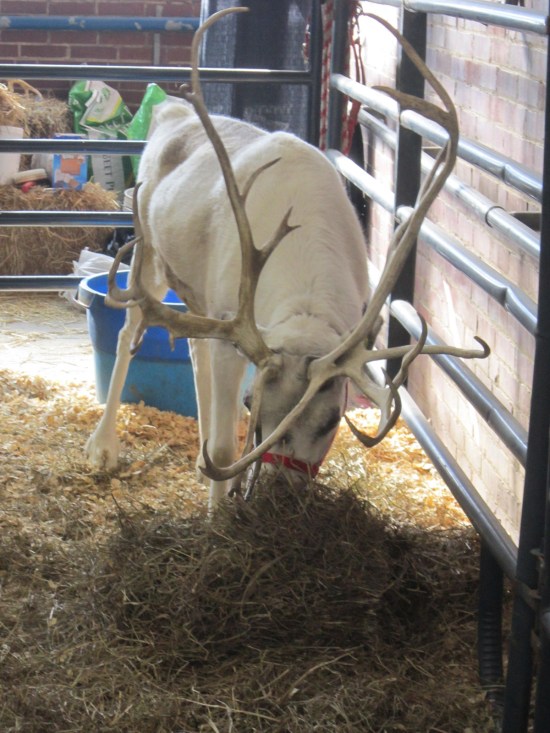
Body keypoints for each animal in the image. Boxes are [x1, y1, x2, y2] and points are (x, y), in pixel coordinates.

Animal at [85, 8, 488, 510]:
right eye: (253, 405)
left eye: (331, 419)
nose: (280, 494)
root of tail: (169, 112)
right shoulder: (232, 331)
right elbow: (226, 446)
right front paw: (217, 515)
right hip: (148, 254)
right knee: (128, 333)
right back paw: (103, 448)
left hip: (195, 291)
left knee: (194, 349)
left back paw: (196, 459)